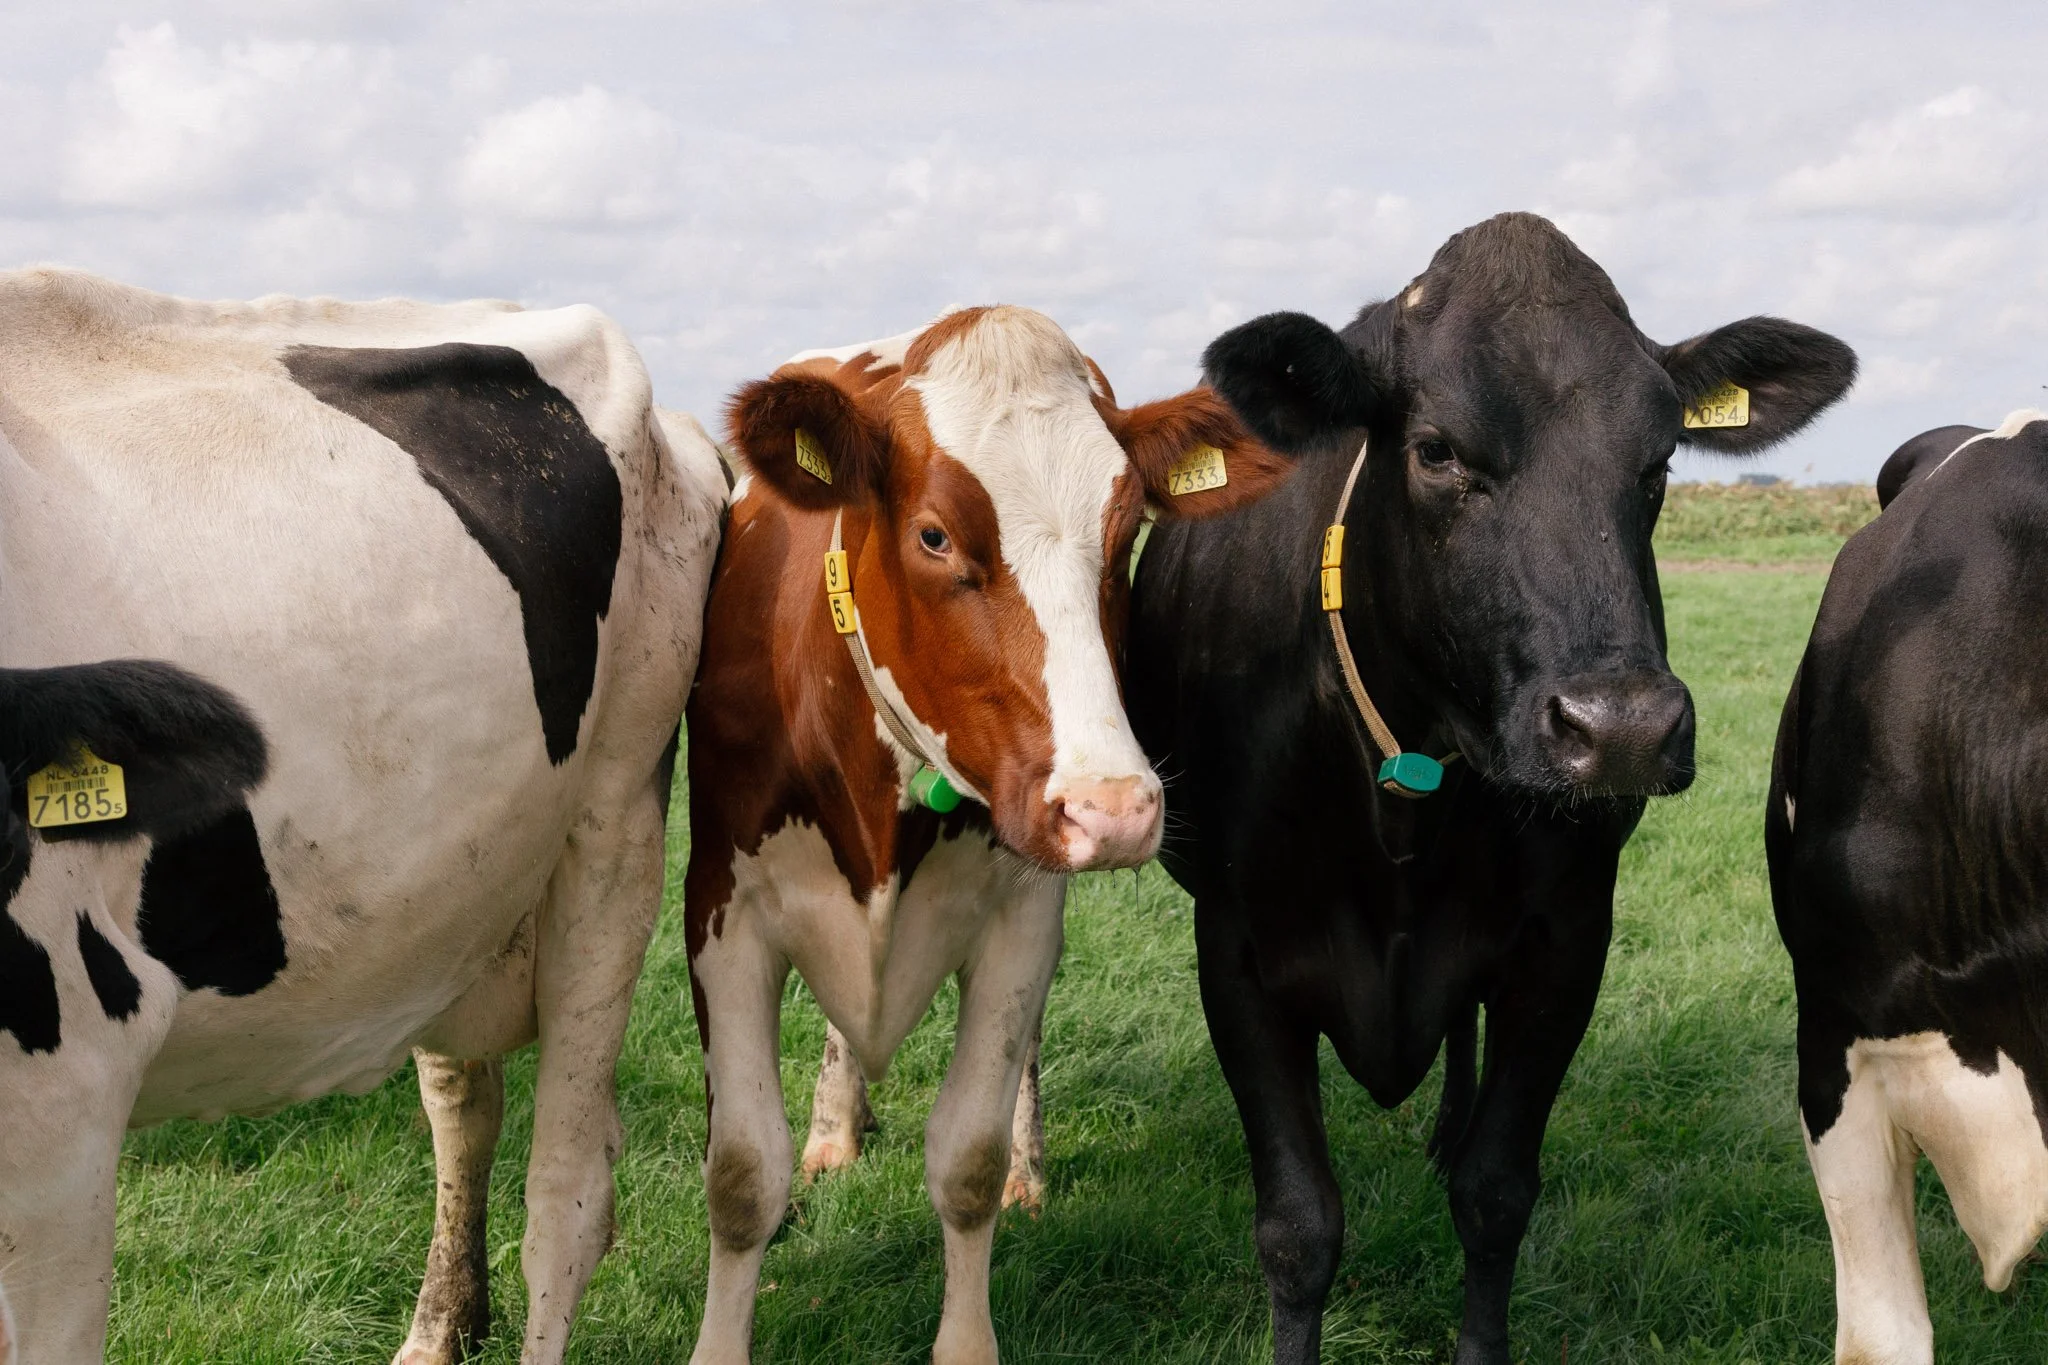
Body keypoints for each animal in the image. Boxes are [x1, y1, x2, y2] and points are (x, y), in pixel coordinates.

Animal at [0, 268, 727, 1364]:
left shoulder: (64, 1101)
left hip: (616, 825)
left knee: (569, 1192)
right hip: (451, 884)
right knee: (464, 1100)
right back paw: (437, 1331)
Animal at [682, 305, 1300, 1364]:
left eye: (1125, 532)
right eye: (933, 534)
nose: (1114, 807)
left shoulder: (1023, 914)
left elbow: (964, 1161)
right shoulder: (722, 909)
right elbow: (741, 1177)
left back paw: (1025, 1163)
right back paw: (836, 1129)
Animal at [1124, 213, 1857, 1364]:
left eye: (1658, 462)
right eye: (1436, 451)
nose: (1619, 729)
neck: (1406, 793)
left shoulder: (1564, 940)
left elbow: (1495, 1194)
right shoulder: (1237, 950)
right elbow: (1297, 1226)